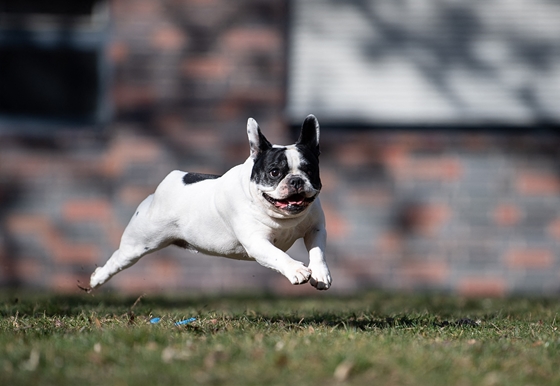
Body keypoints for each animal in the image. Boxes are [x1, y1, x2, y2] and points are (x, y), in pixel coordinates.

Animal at [85, 114, 330, 292]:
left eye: (309, 170)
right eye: (275, 172)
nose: (296, 180)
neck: (282, 217)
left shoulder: (316, 229)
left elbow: (318, 251)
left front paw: (320, 273)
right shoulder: (257, 242)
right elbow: (278, 255)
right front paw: (296, 270)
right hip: (138, 244)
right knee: (117, 260)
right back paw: (97, 278)